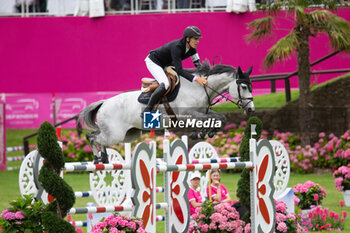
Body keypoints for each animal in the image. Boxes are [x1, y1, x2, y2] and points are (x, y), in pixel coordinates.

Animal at [79, 62, 254, 164]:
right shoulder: (185, 116)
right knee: (92, 137)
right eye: (244, 87)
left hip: (129, 134)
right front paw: (202, 132)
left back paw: (103, 158)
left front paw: (205, 132)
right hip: (115, 134)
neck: (198, 88)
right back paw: (97, 158)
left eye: (251, 87)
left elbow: (220, 118)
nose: (251, 109)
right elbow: (210, 118)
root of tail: (104, 103)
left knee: (98, 138)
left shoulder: (203, 111)